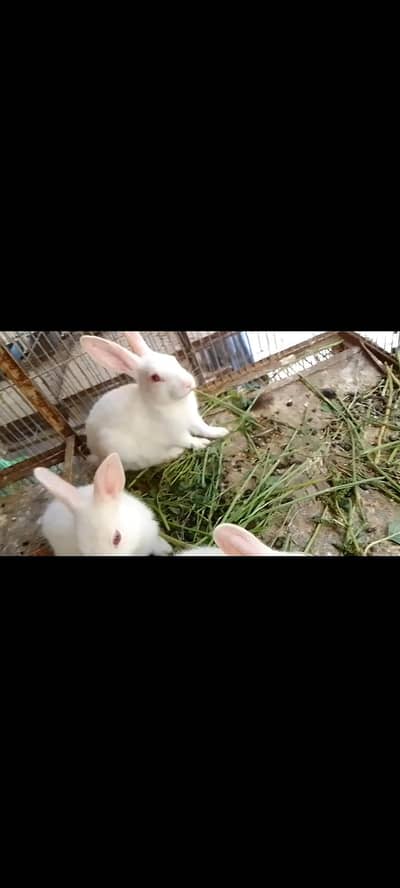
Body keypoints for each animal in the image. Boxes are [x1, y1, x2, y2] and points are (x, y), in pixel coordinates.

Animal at [80, 332, 229, 470]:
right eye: (155, 378)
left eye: (173, 359)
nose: (188, 383)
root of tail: (95, 453)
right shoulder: (175, 434)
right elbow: (189, 440)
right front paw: (202, 443)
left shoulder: (194, 419)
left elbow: (204, 428)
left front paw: (222, 431)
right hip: (121, 450)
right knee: (146, 461)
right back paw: (174, 452)